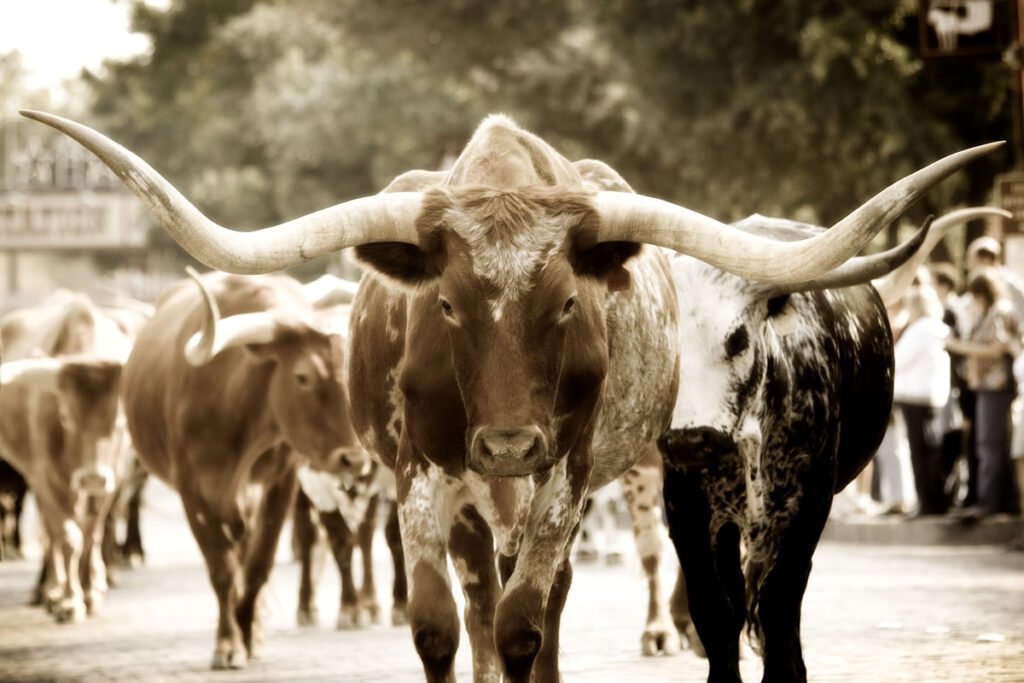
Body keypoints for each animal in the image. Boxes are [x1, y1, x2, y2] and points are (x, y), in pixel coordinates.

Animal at [0, 292, 134, 622]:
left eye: (121, 421)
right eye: (64, 416)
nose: (92, 477)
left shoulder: (114, 477)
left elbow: (91, 533)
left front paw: (90, 592)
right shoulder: (46, 478)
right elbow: (69, 537)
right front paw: (70, 600)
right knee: (51, 535)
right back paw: (47, 590)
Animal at [118, 268, 371, 669]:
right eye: (302, 377)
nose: (354, 459)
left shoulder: (280, 486)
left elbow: (258, 565)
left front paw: (248, 633)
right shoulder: (193, 493)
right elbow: (222, 568)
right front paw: (228, 643)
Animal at [657, 206, 1008, 683]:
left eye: (738, 338)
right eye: (666, 349)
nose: (690, 441)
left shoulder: (808, 502)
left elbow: (778, 601)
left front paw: (786, 673)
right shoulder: (685, 505)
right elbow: (715, 609)